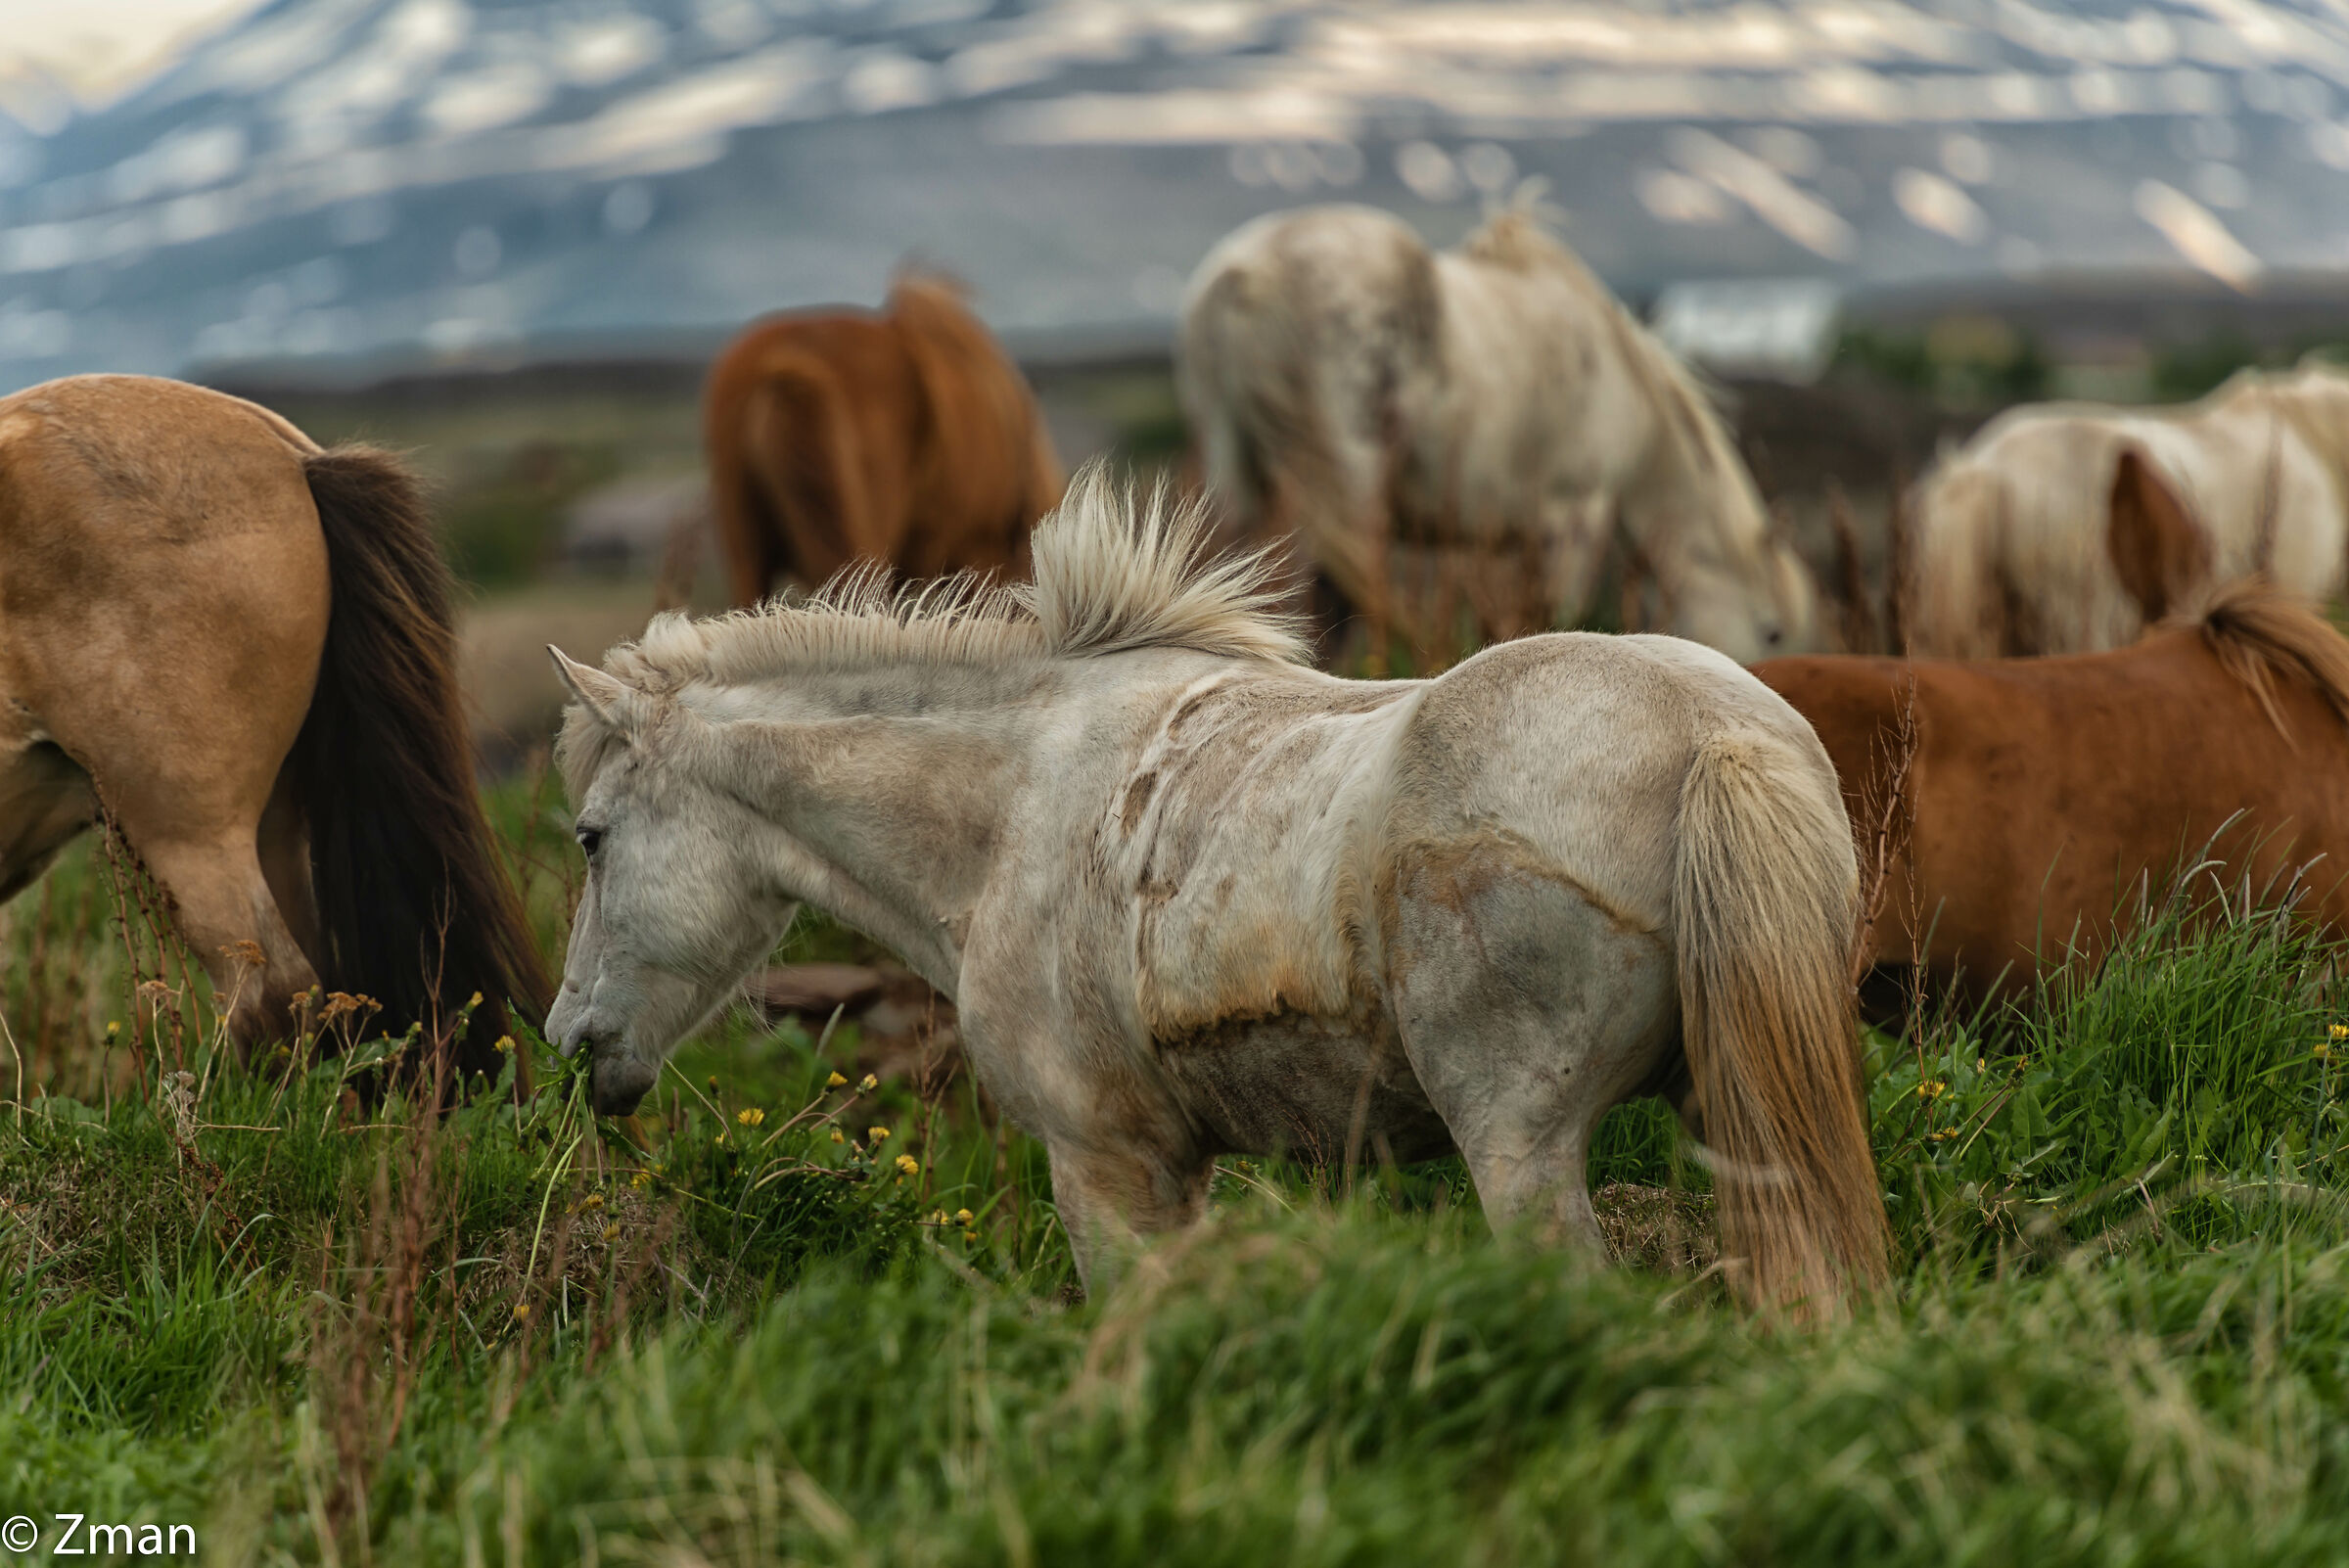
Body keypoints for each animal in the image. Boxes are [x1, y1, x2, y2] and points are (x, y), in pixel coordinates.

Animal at [545, 468, 1887, 1319]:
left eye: (591, 839)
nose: (567, 1040)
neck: (1012, 800)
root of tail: (1712, 732)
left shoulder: (1104, 1164)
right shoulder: (1176, 1166)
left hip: (1521, 1145)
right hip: (1734, 1115)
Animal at [1176, 202, 1820, 664]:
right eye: (1772, 631)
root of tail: (1244, 276)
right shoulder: (1573, 517)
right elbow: (1557, 618)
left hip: (1238, 479)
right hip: (1345, 488)